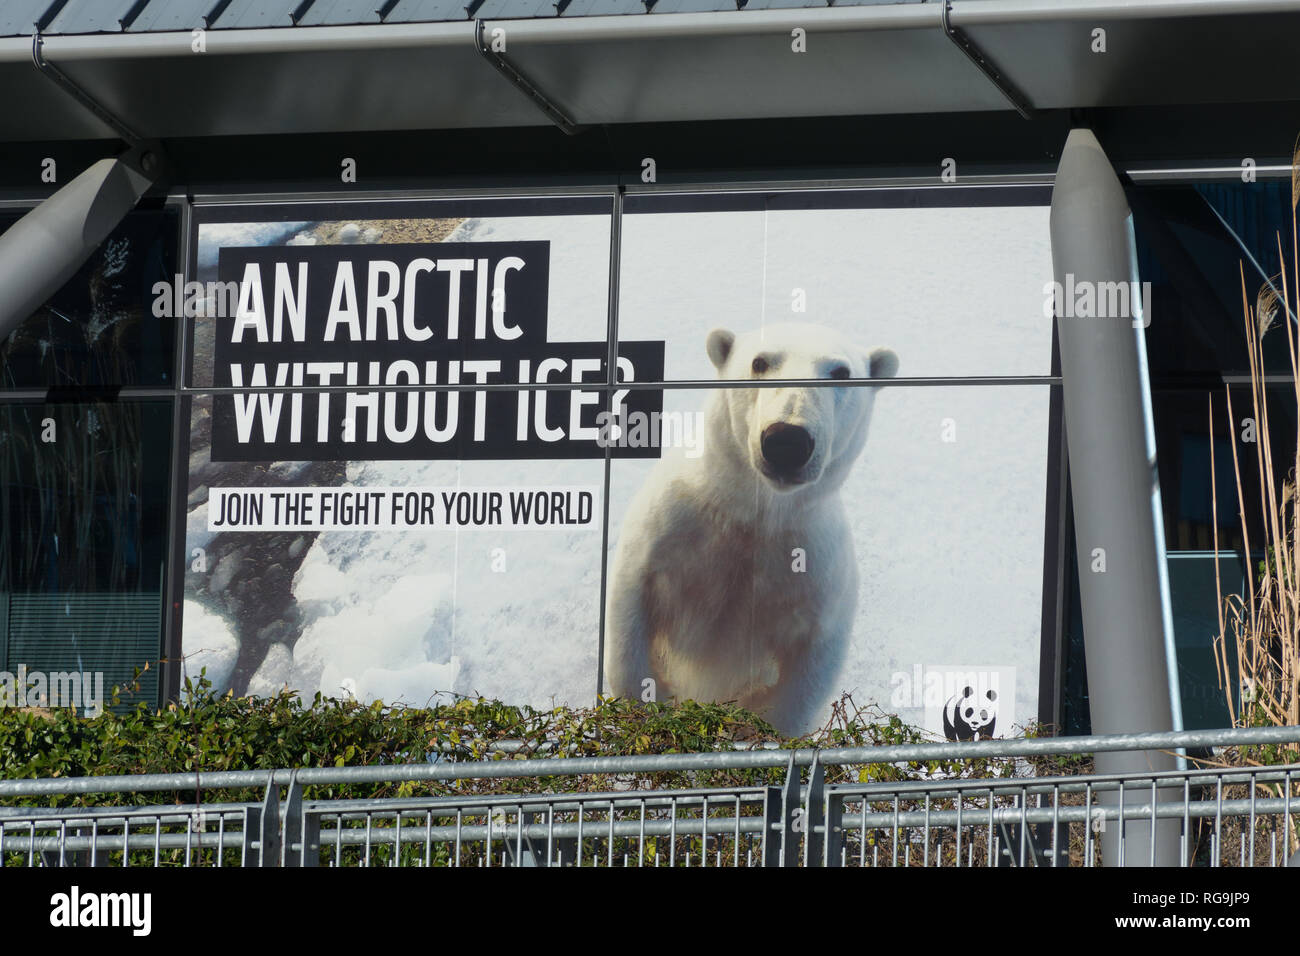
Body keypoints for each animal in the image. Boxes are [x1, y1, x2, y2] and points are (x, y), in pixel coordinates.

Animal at [603, 321, 899, 733]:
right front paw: (650, 707)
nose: (787, 440)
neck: (755, 514)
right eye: (760, 362)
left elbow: (808, 667)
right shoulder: (675, 523)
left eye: (841, 372)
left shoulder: (815, 565)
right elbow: (634, 604)